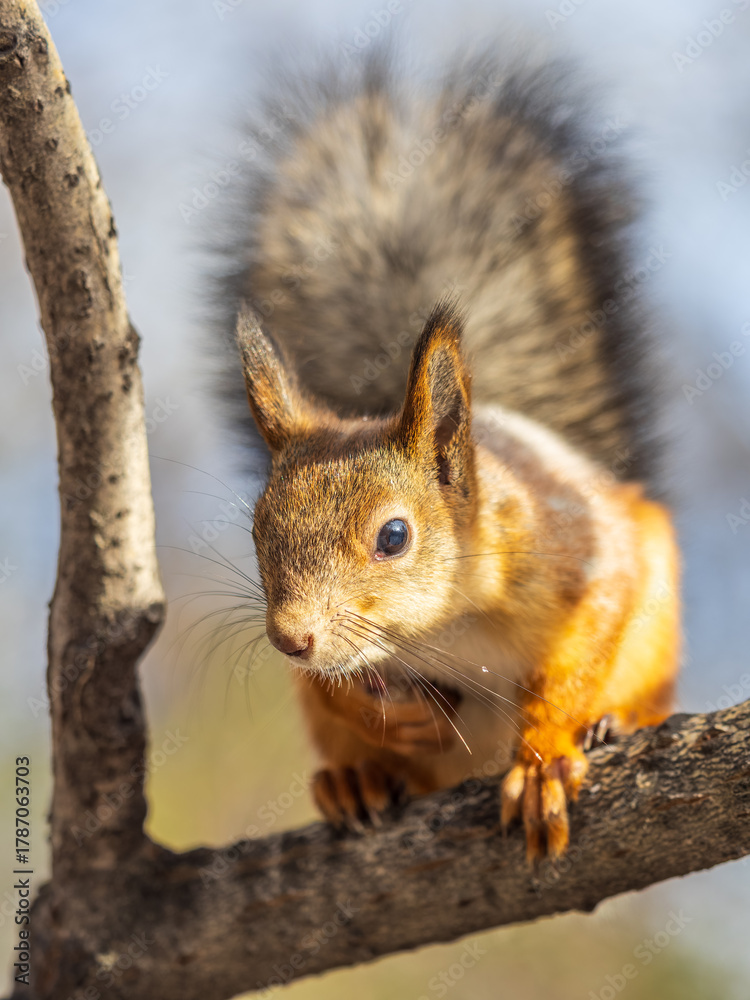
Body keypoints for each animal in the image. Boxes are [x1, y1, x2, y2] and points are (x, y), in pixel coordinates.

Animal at [211, 48, 681, 862]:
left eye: (394, 536)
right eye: (258, 531)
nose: (291, 639)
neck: (440, 627)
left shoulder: (574, 550)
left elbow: (585, 640)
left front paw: (545, 754)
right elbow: (343, 688)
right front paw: (388, 718)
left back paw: (617, 722)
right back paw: (355, 780)